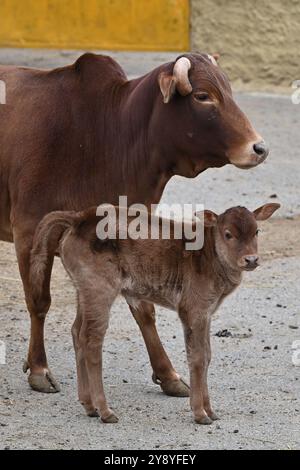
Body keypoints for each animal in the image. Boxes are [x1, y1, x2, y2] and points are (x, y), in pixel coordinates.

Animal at [0, 51, 268, 396]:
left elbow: (144, 311)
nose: (259, 148)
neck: (105, 135)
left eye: (230, 90)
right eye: (202, 96)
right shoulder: (30, 233)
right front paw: (38, 368)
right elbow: (38, 301)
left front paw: (168, 374)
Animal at [29, 204, 278, 424]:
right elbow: (197, 358)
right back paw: (106, 411)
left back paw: (89, 406)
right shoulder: (192, 310)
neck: (208, 254)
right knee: (92, 340)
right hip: (100, 290)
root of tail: (79, 218)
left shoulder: (206, 313)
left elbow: (207, 355)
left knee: (77, 332)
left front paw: (211, 410)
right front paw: (200, 413)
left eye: (257, 231)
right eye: (228, 234)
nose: (251, 259)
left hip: (83, 291)